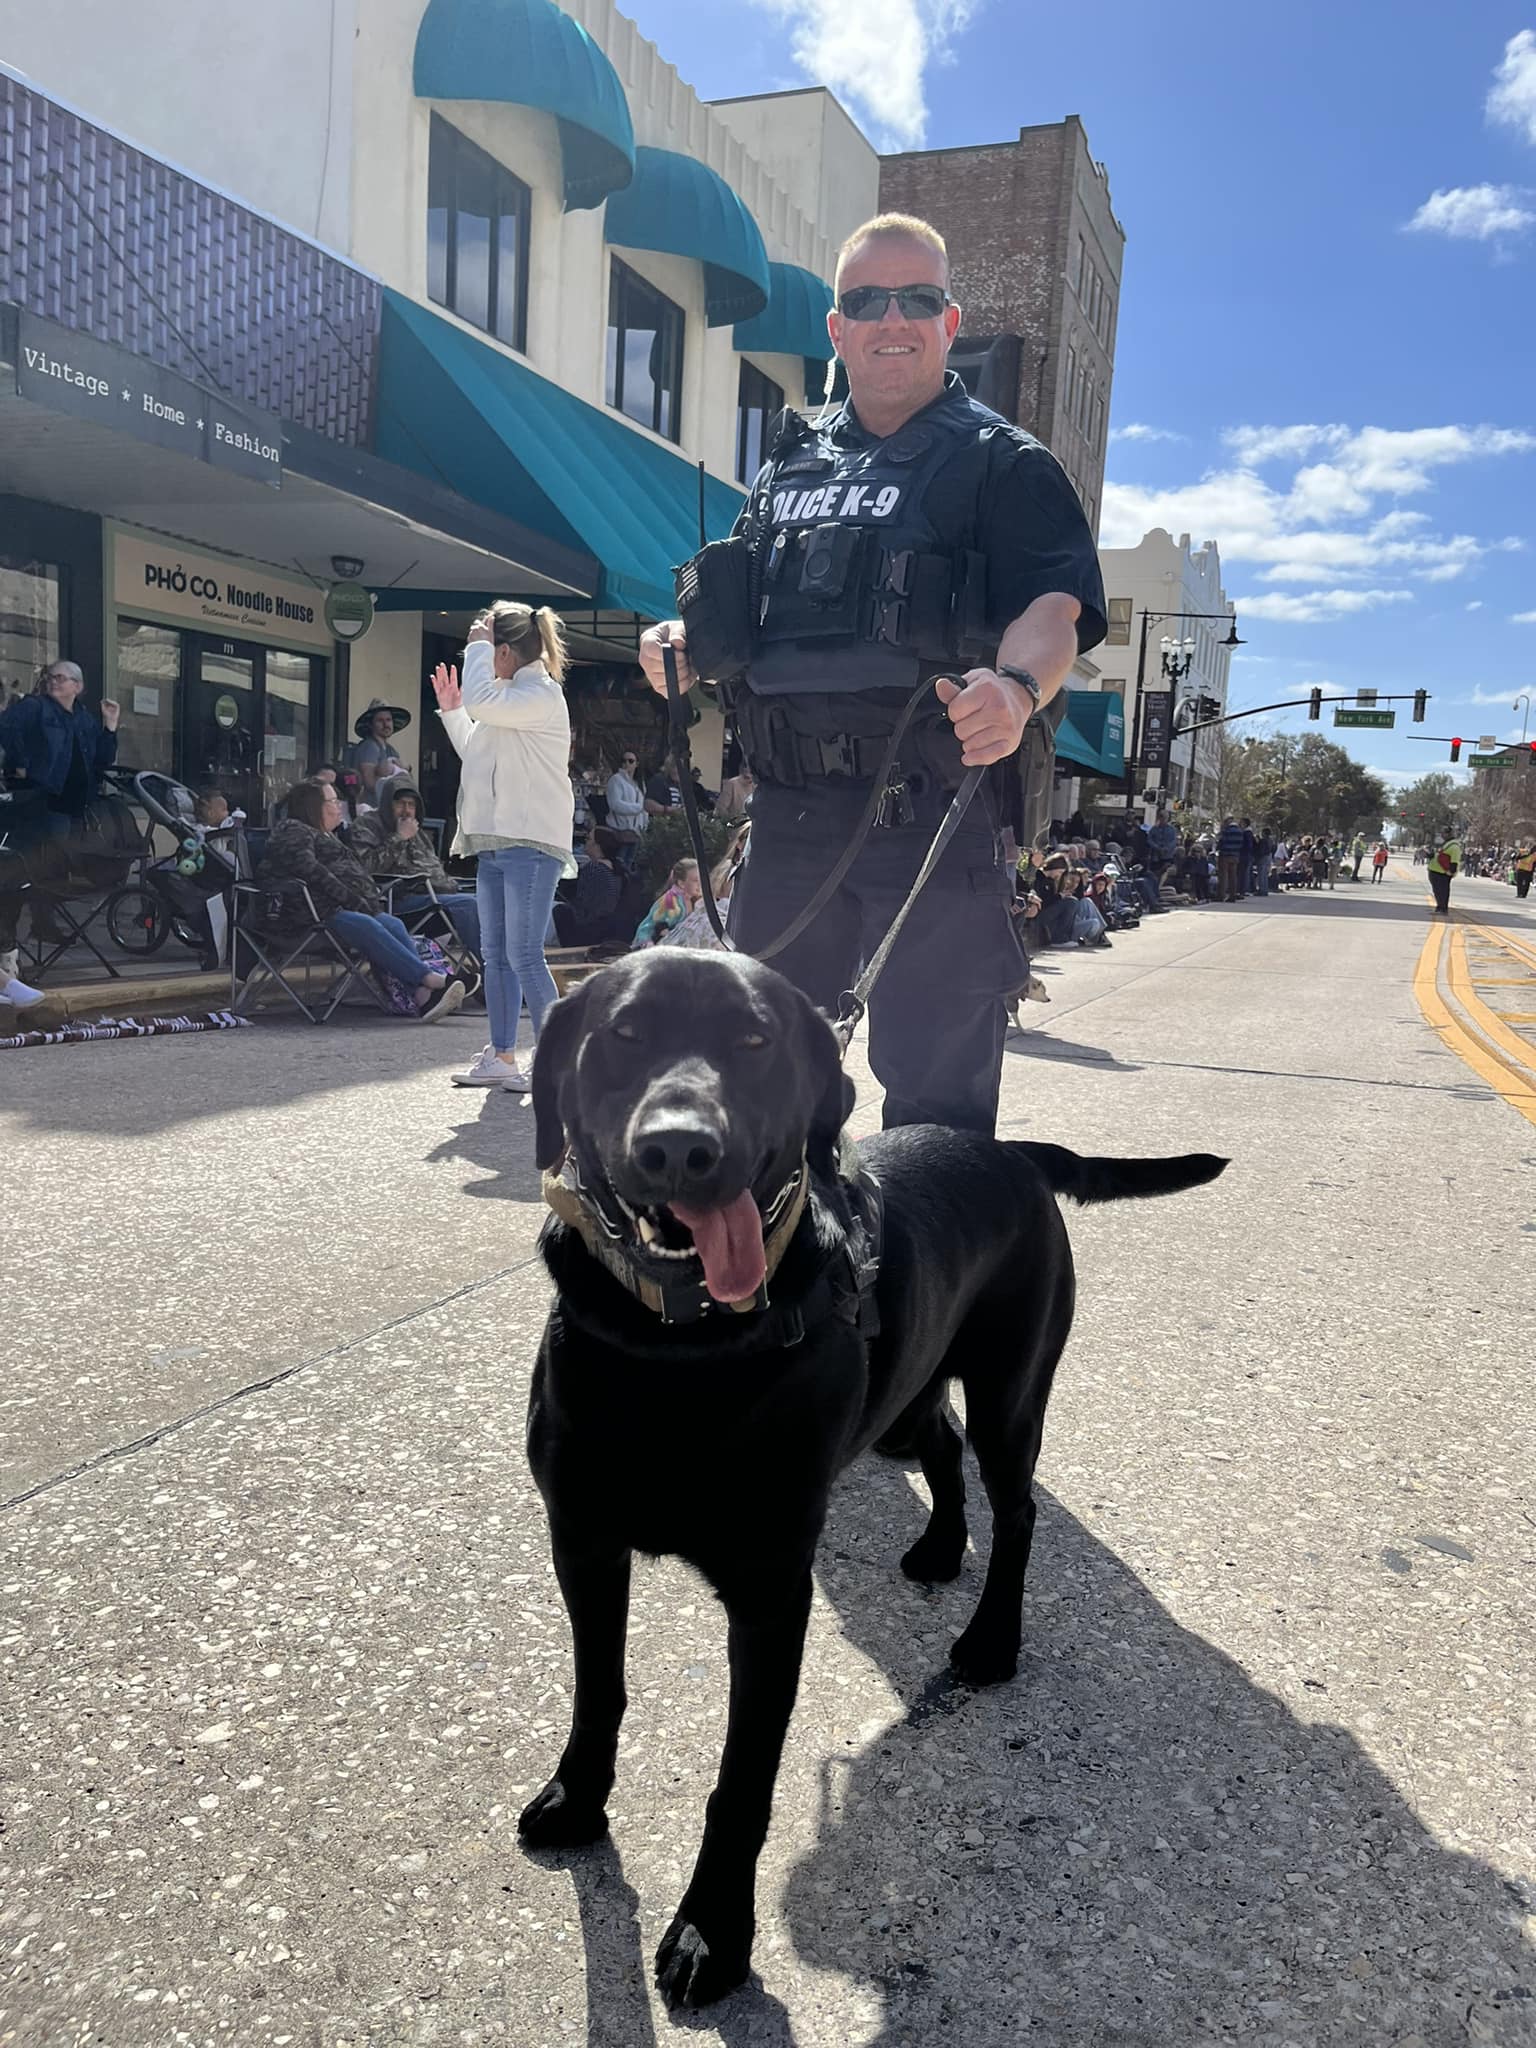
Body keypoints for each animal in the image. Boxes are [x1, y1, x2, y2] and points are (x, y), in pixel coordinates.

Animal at [524, 950, 1236, 2007]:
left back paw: (989, 1640)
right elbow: (596, 1690)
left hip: (1011, 1392)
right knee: (939, 1448)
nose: (680, 1151)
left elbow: (742, 1778)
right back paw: (940, 1547)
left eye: (755, 1039)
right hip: (908, 1390)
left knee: (1018, 1509)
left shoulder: (770, 1594)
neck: (677, 1346)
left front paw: (710, 1931)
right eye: (622, 1034)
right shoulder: (583, 1540)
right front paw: (577, 1798)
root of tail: (1016, 1154)